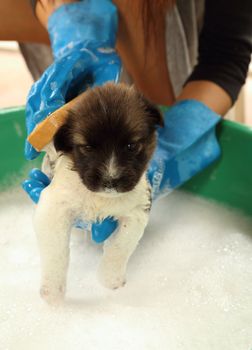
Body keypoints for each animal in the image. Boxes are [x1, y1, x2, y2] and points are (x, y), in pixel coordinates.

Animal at [34, 82, 162, 304]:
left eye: (131, 146)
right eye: (87, 147)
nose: (110, 181)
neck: (101, 198)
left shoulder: (137, 210)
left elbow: (121, 245)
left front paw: (110, 280)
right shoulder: (54, 207)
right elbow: (55, 251)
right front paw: (53, 293)